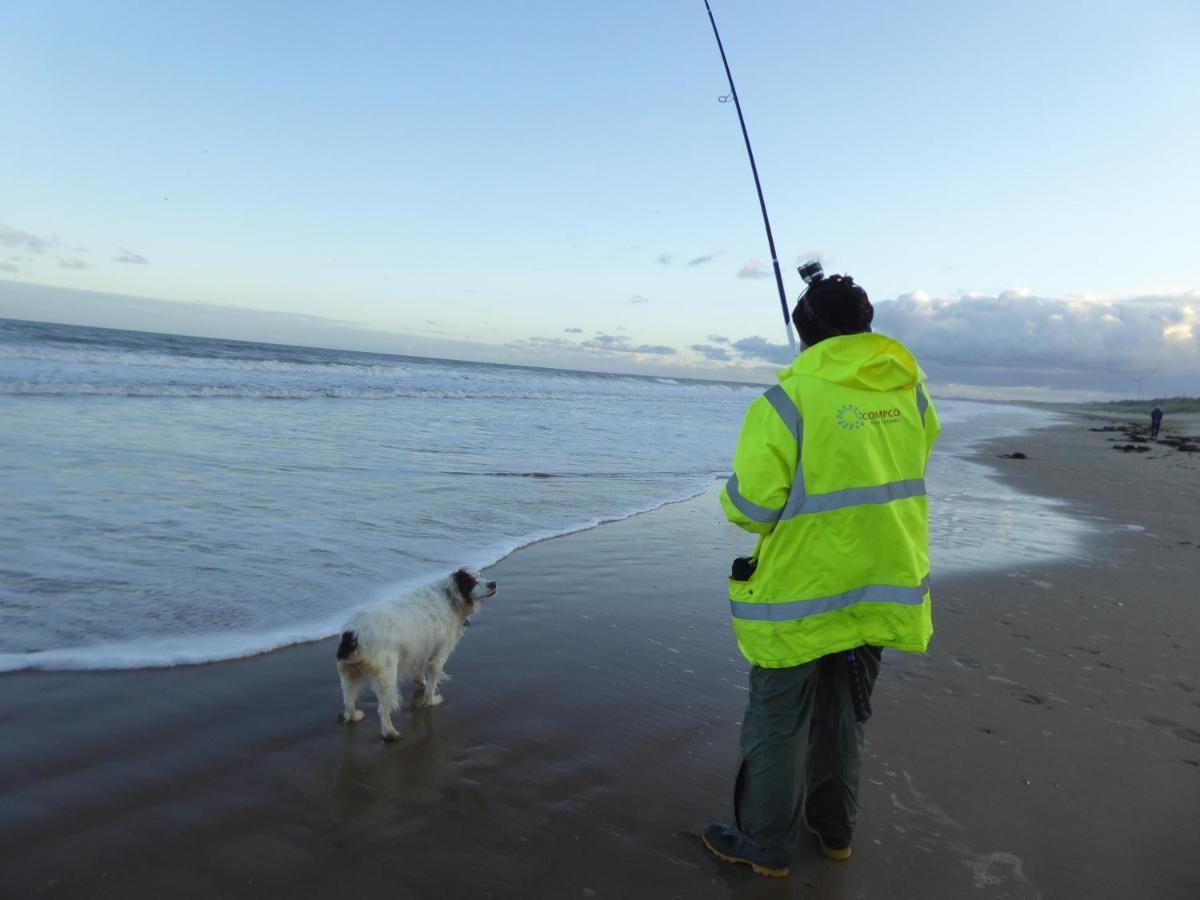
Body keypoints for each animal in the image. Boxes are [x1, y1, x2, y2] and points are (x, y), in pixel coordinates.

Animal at [333, 571, 496, 739]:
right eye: (471, 581)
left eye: (481, 575)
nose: (493, 584)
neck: (449, 598)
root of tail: (352, 633)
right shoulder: (439, 657)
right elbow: (431, 686)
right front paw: (431, 700)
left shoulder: (421, 651)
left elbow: (420, 672)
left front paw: (420, 681)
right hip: (387, 677)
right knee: (383, 710)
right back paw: (390, 733)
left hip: (349, 675)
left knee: (348, 702)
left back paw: (354, 716)